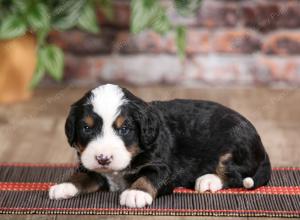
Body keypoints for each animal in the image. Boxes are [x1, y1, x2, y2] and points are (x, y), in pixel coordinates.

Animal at [49, 84, 272, 208]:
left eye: (124, 129)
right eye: (86, 128)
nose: (103, 158)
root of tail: (261, 145)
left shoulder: (164, 167)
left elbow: (149, 176)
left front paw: (136, 193)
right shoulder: (93, 168)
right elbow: (82, 175)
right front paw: (64, 186)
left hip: (234, 144)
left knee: (235, 175)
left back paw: (208, 180)